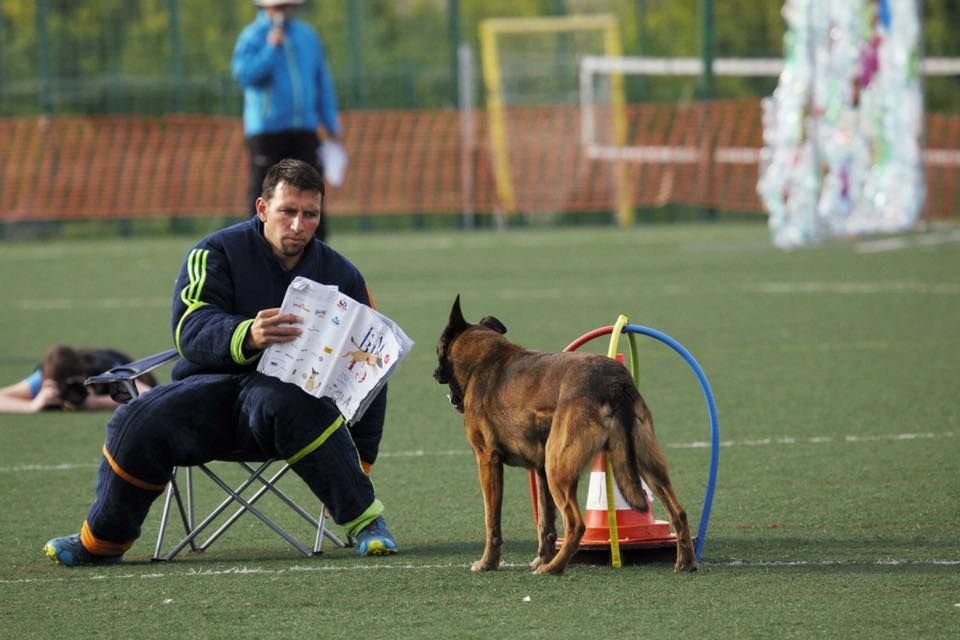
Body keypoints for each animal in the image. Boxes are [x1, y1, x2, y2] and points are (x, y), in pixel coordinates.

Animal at [436, 298, 696, 576]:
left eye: (438, 348)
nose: (434, 373)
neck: (483, 358)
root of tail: (614, 382)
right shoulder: (540, 470)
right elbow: (546, 523)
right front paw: (541, 557)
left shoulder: (487, 461)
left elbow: (491, 520)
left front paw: (488, 562)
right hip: (645, 464)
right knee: (679, 512)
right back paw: (686, 563)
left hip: (558, 469)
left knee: (576, 523)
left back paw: (554, 568)